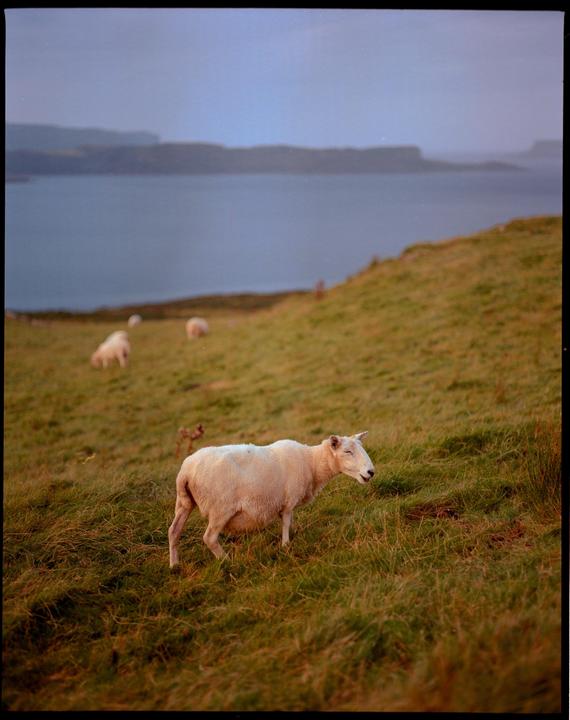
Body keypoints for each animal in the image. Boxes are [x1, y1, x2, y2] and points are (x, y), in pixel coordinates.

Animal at [168, 431, 375, 567]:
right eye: (347, 451)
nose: (371, 472)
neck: (312, 463)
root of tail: (186, 472)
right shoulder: (288, 501)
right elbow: (286, 522)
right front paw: (286, 545)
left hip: (184, 503)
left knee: (173, 531)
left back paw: (174, 565)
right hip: (220, 508)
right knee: (209, 538)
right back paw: (227, 561)